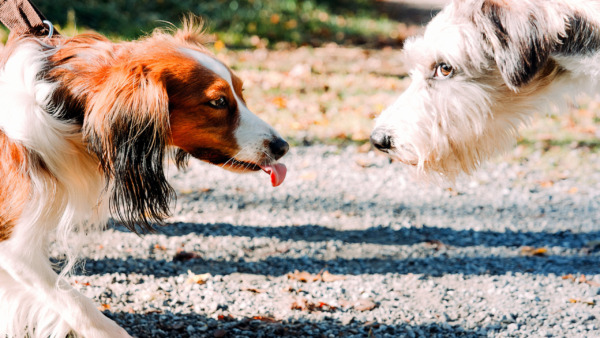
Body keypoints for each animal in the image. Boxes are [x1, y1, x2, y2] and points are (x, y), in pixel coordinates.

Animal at [0, 21, 288, 338]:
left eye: (241, 92)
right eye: (218, 101)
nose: (283, 146)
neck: (58, 108)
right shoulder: (15, 248)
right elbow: (78, 305)